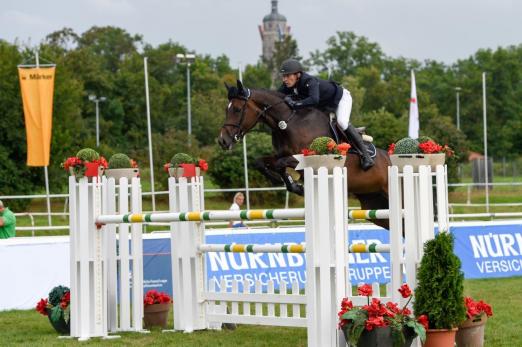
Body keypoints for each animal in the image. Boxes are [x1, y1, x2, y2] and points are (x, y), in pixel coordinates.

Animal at [216, 80, 390, 230]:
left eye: (237, 109)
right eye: (226, 110)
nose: (222, 141)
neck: (288, 123)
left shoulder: (308, 158)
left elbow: (280, 164)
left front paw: (295, 186)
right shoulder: (281, 155)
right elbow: (261, 162)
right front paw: (286, 183)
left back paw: (367, 160)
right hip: (375, 206)